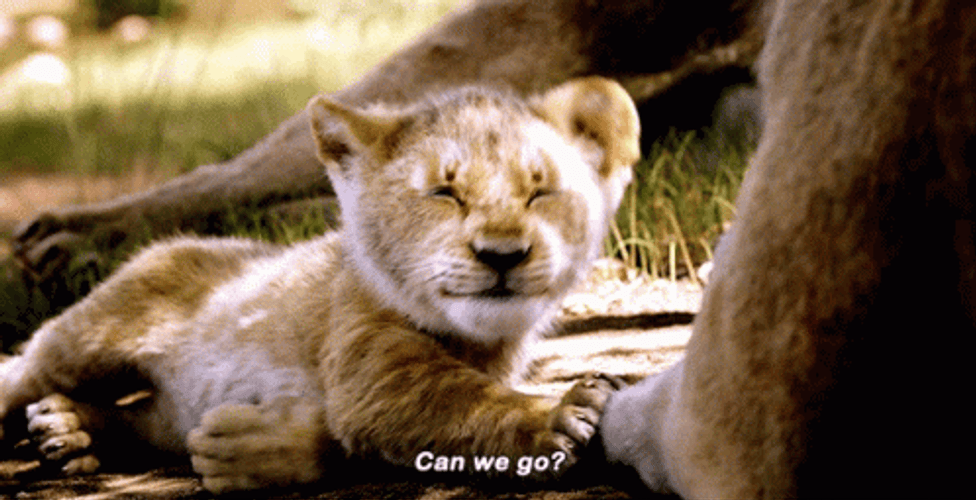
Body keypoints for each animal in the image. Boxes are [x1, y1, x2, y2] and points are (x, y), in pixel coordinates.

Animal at [0, 77, 638, 493]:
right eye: (444, 193)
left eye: (540, 192)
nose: (502, 255)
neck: (480, 339)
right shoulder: (373, 368)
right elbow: (462, 403)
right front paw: (561, 414)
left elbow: (338, 437)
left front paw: (242, 450)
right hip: (92, 337)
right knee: (27, 367)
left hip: (160, 406)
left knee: (141, 418)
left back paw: (69, 431)